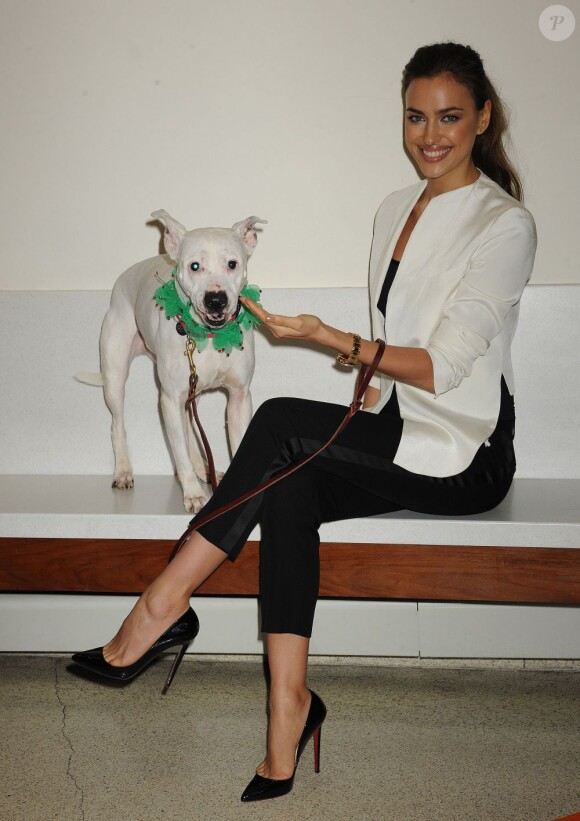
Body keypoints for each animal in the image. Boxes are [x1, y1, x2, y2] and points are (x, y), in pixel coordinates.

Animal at [76, 211, 266, 510]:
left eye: (232, 264)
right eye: (195, 266)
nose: (216, 300)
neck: (208, 335)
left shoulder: (239, 397)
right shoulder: (169, 399)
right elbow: (179, 451)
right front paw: (194, 495)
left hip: (189, 392)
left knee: (188, 433)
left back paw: (207, 470)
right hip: (115, 378)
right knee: (118, 425)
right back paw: (124, 471)